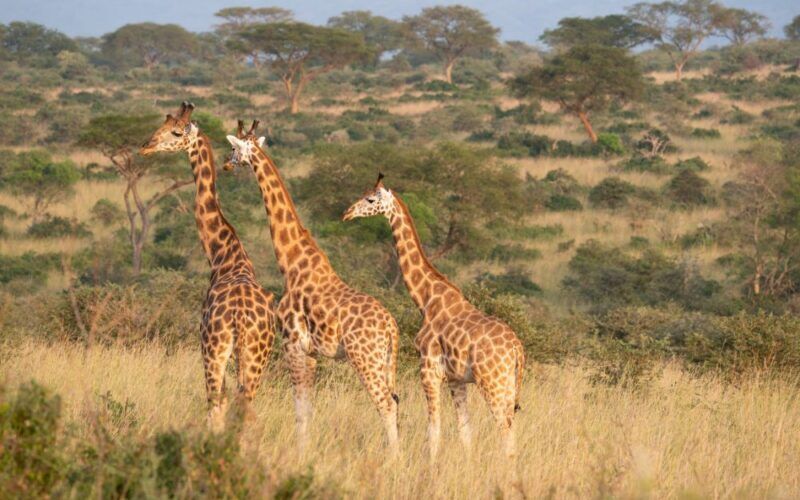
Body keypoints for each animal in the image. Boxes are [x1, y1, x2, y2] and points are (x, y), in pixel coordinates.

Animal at [140, 103, 276, 430]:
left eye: (176, 132)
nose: (145, 146)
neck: (223, 255)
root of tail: (241, 319)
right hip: (256, 358)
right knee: (243, 405)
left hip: (214, 351)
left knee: (216, 405)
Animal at [223, 121, 400, 452]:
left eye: (233, 148)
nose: (226, 165)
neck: (291, 262)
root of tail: (392, 328)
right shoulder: (312, 353)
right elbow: (309, 408)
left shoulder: (293, 344)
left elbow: (300, 407)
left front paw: (301, 453)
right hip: (384, 360)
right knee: (395, 399)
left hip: (365, 358)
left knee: (385, 403)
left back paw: (395, 459)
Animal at [342, 174, 526, 460]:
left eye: (370, 199)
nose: (347, 213)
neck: (426, 299)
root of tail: (517, 348)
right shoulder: (456, 379)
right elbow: (464, 430)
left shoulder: (428, 370)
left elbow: (433, 429)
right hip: (506, 383)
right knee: (510, 425)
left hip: (492, 382)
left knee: (504, 427)